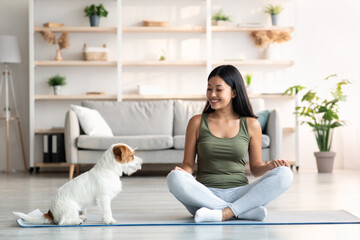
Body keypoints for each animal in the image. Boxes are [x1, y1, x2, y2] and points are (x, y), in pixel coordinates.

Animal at [14, 143, 143, 226]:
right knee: (62, 222)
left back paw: (80, 217)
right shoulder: (104, 198)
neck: (109, 169)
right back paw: (76, 221)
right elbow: (107, 210)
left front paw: (104, 219)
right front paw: (109, 220)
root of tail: (50, 213)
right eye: (131, 156)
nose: (141, 162)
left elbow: (104, 211)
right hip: (71, 207)